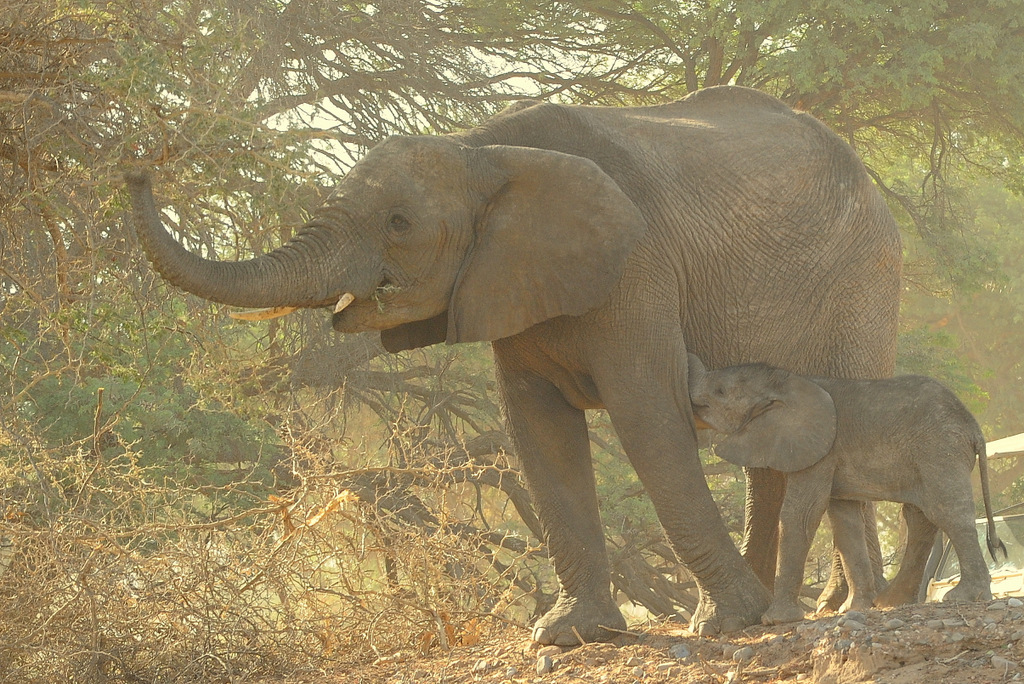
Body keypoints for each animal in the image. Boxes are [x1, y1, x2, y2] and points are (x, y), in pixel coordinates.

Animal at [125, 87, 897, 647]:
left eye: (399, 224)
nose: (138, 163)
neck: (482, 150)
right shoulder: (510, 281)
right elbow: (538, 431)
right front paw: (570, 636)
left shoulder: (635, 267)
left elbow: (648, 420)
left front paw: (725, 626)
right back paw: (788, 607)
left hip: (862, 276)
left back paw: (827, 607)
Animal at [688, 352, 1007, 626]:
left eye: (719, 392)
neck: (787, 380)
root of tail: (974, 427)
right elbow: (844, 520)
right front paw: (853, 608)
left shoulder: (819, 449)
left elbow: (802, 514)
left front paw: (775, 620)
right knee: (920, 517)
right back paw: (891, 602)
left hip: (940, 448)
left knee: (947, 512)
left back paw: (962, 597)